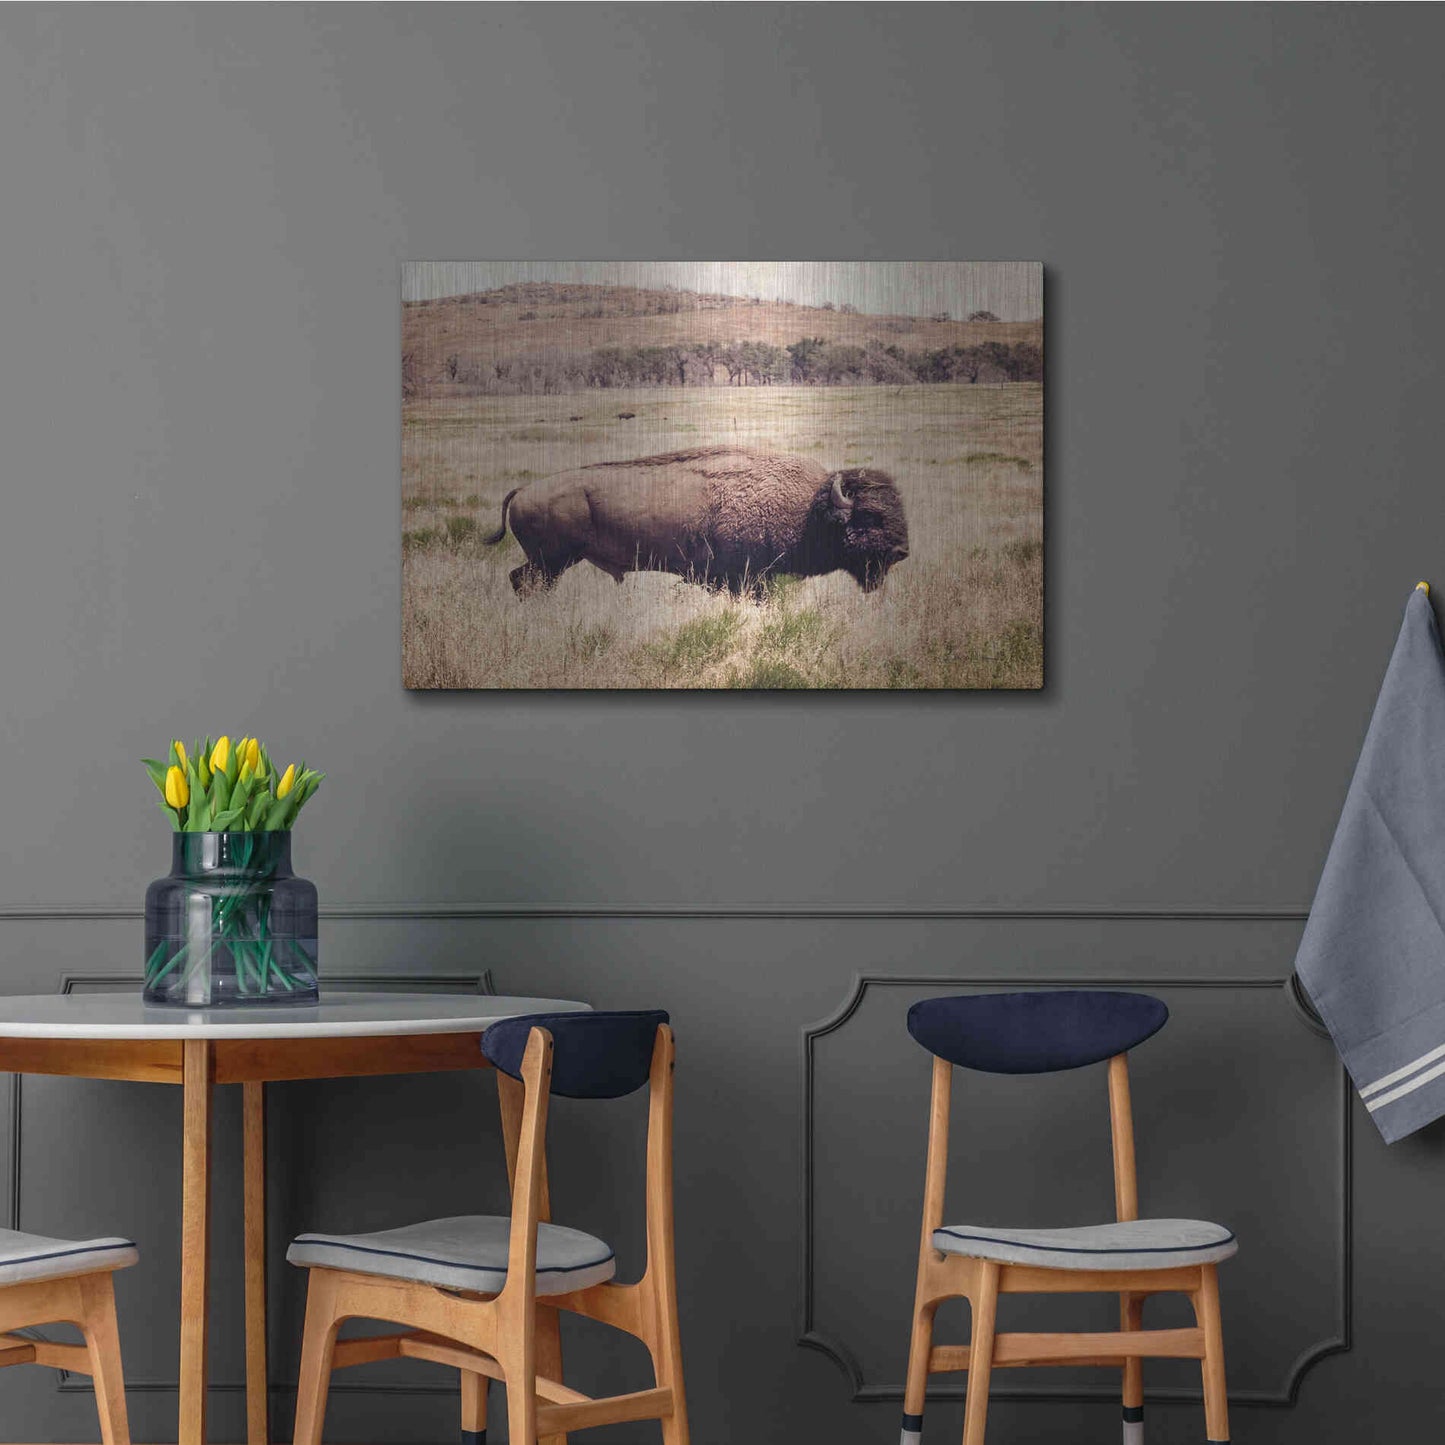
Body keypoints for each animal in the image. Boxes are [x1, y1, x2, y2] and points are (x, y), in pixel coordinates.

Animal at [483, 447, 909, 596]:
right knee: (526, 582)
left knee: (520, 580)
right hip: (552, 561)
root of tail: (524, 489)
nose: (902, 551)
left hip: (551, 562)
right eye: (869, 516)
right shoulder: (743, 578)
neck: (808, 509)